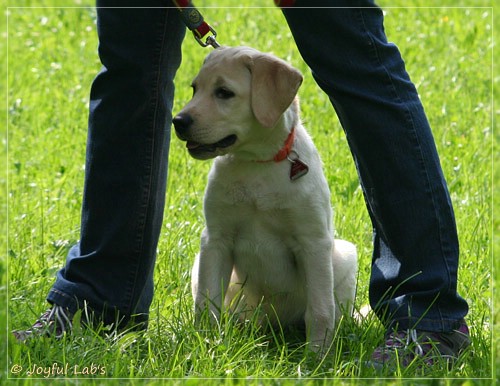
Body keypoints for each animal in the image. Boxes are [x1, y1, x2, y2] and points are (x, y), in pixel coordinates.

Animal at [174, 46, 358, 354]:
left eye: (224, 92)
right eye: (194, 89)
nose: (178, 121)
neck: (257, 163)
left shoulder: (313, 242)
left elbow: (320, 310)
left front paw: (317, 357)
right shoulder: (215, 239)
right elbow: (207, 302)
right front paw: (206, 345)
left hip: (344, 256)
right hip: (202, 264)